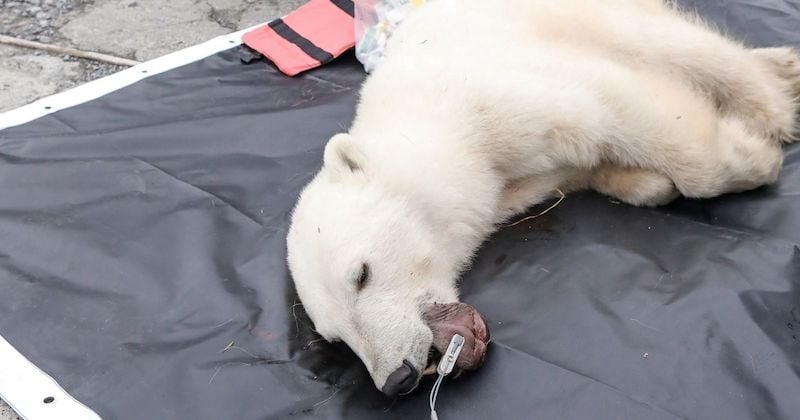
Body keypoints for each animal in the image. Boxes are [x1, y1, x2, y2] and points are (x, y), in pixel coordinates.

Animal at [284, 0, 796, 398]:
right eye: (334, 338)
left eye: (361, 275)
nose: (396, 380)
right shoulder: (512, 182)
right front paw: (646, 181)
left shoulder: (496, 97)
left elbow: (618, 105)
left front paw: (754, 156)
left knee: (671, 44)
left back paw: (769, 102)